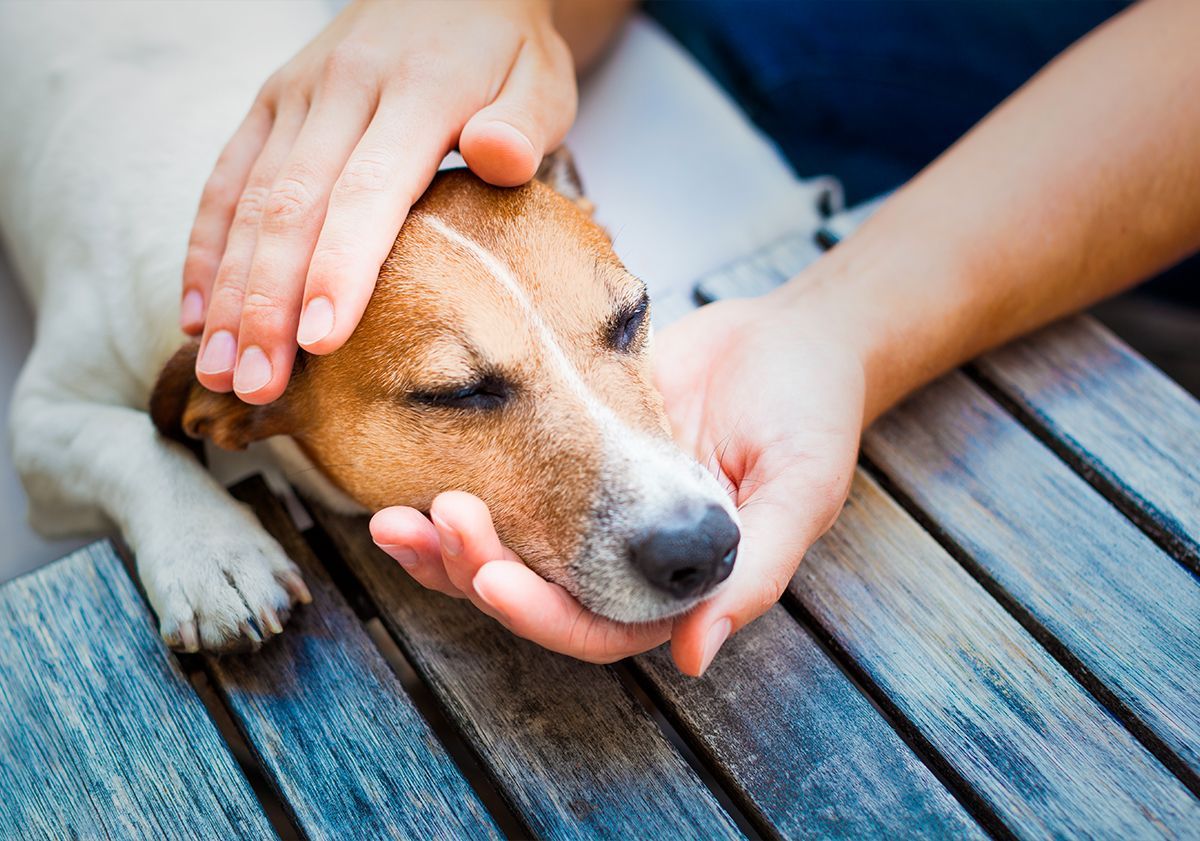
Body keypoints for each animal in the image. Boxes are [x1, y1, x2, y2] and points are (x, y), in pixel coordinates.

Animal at [4, 4, 734, 657]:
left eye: (633, 316)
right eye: (457, 393)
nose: (702, 544)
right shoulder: (39, 421)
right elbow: (129, 439)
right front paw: (212, 551)